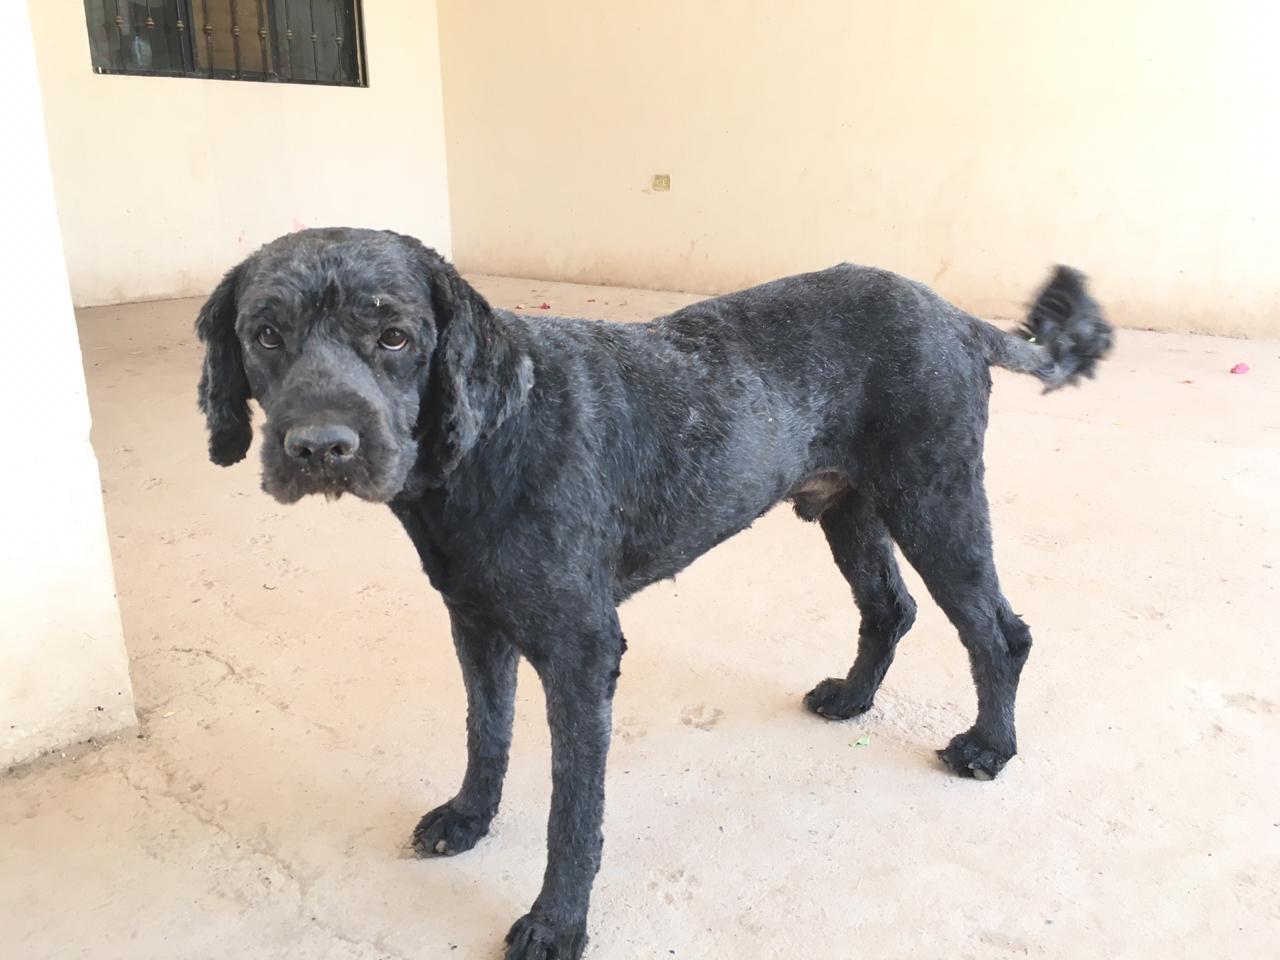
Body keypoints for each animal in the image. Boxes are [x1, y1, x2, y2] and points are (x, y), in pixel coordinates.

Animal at [197, 229, 1111, 957]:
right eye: (266, 334)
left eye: (393, 336)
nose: (321, 448)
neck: (492, 436)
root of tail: (955, 315)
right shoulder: (476, 625)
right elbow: (485, 736)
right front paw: (468, 818)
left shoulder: (580, 654)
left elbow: (573, 813)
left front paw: (556, 924)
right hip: (850, 507)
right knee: (891, 608)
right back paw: (854, 698)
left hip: (934, 501)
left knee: (998, 631)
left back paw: (990, 746)